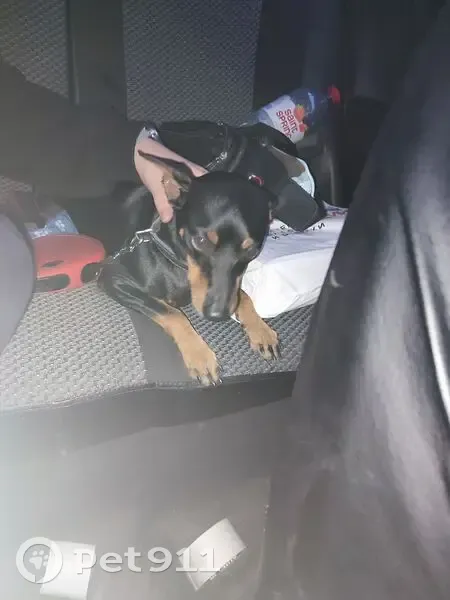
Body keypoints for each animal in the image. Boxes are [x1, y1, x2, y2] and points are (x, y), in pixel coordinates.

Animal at [98, 152, 280, 385]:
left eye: (253, 250)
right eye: (200, 240)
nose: (217, 315)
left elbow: (244, 296)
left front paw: (261, 330)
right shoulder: (111, 276)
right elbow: (172, 312)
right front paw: (200, 355)